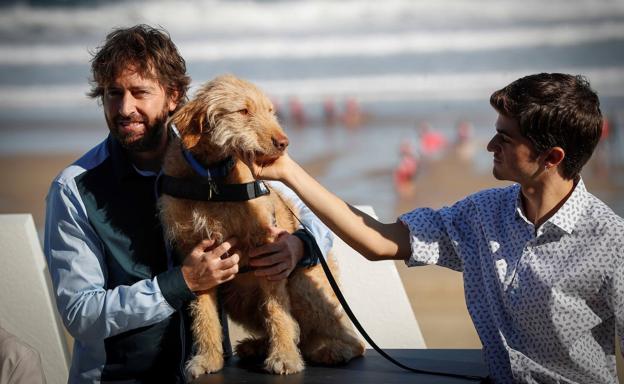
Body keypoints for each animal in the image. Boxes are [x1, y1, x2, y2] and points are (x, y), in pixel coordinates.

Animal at [157, 73, 366, 380]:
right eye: (243, 111)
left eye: (270, 111)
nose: (284, 142)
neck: (212, 178)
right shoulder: (196, 256)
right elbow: (204, 313)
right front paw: (208, 359)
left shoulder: (268, 250)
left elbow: (277, 311)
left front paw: (285, 358)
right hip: (237, 294)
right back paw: (257, 346)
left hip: (304, 284)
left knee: (349, 339)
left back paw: (331, 349)